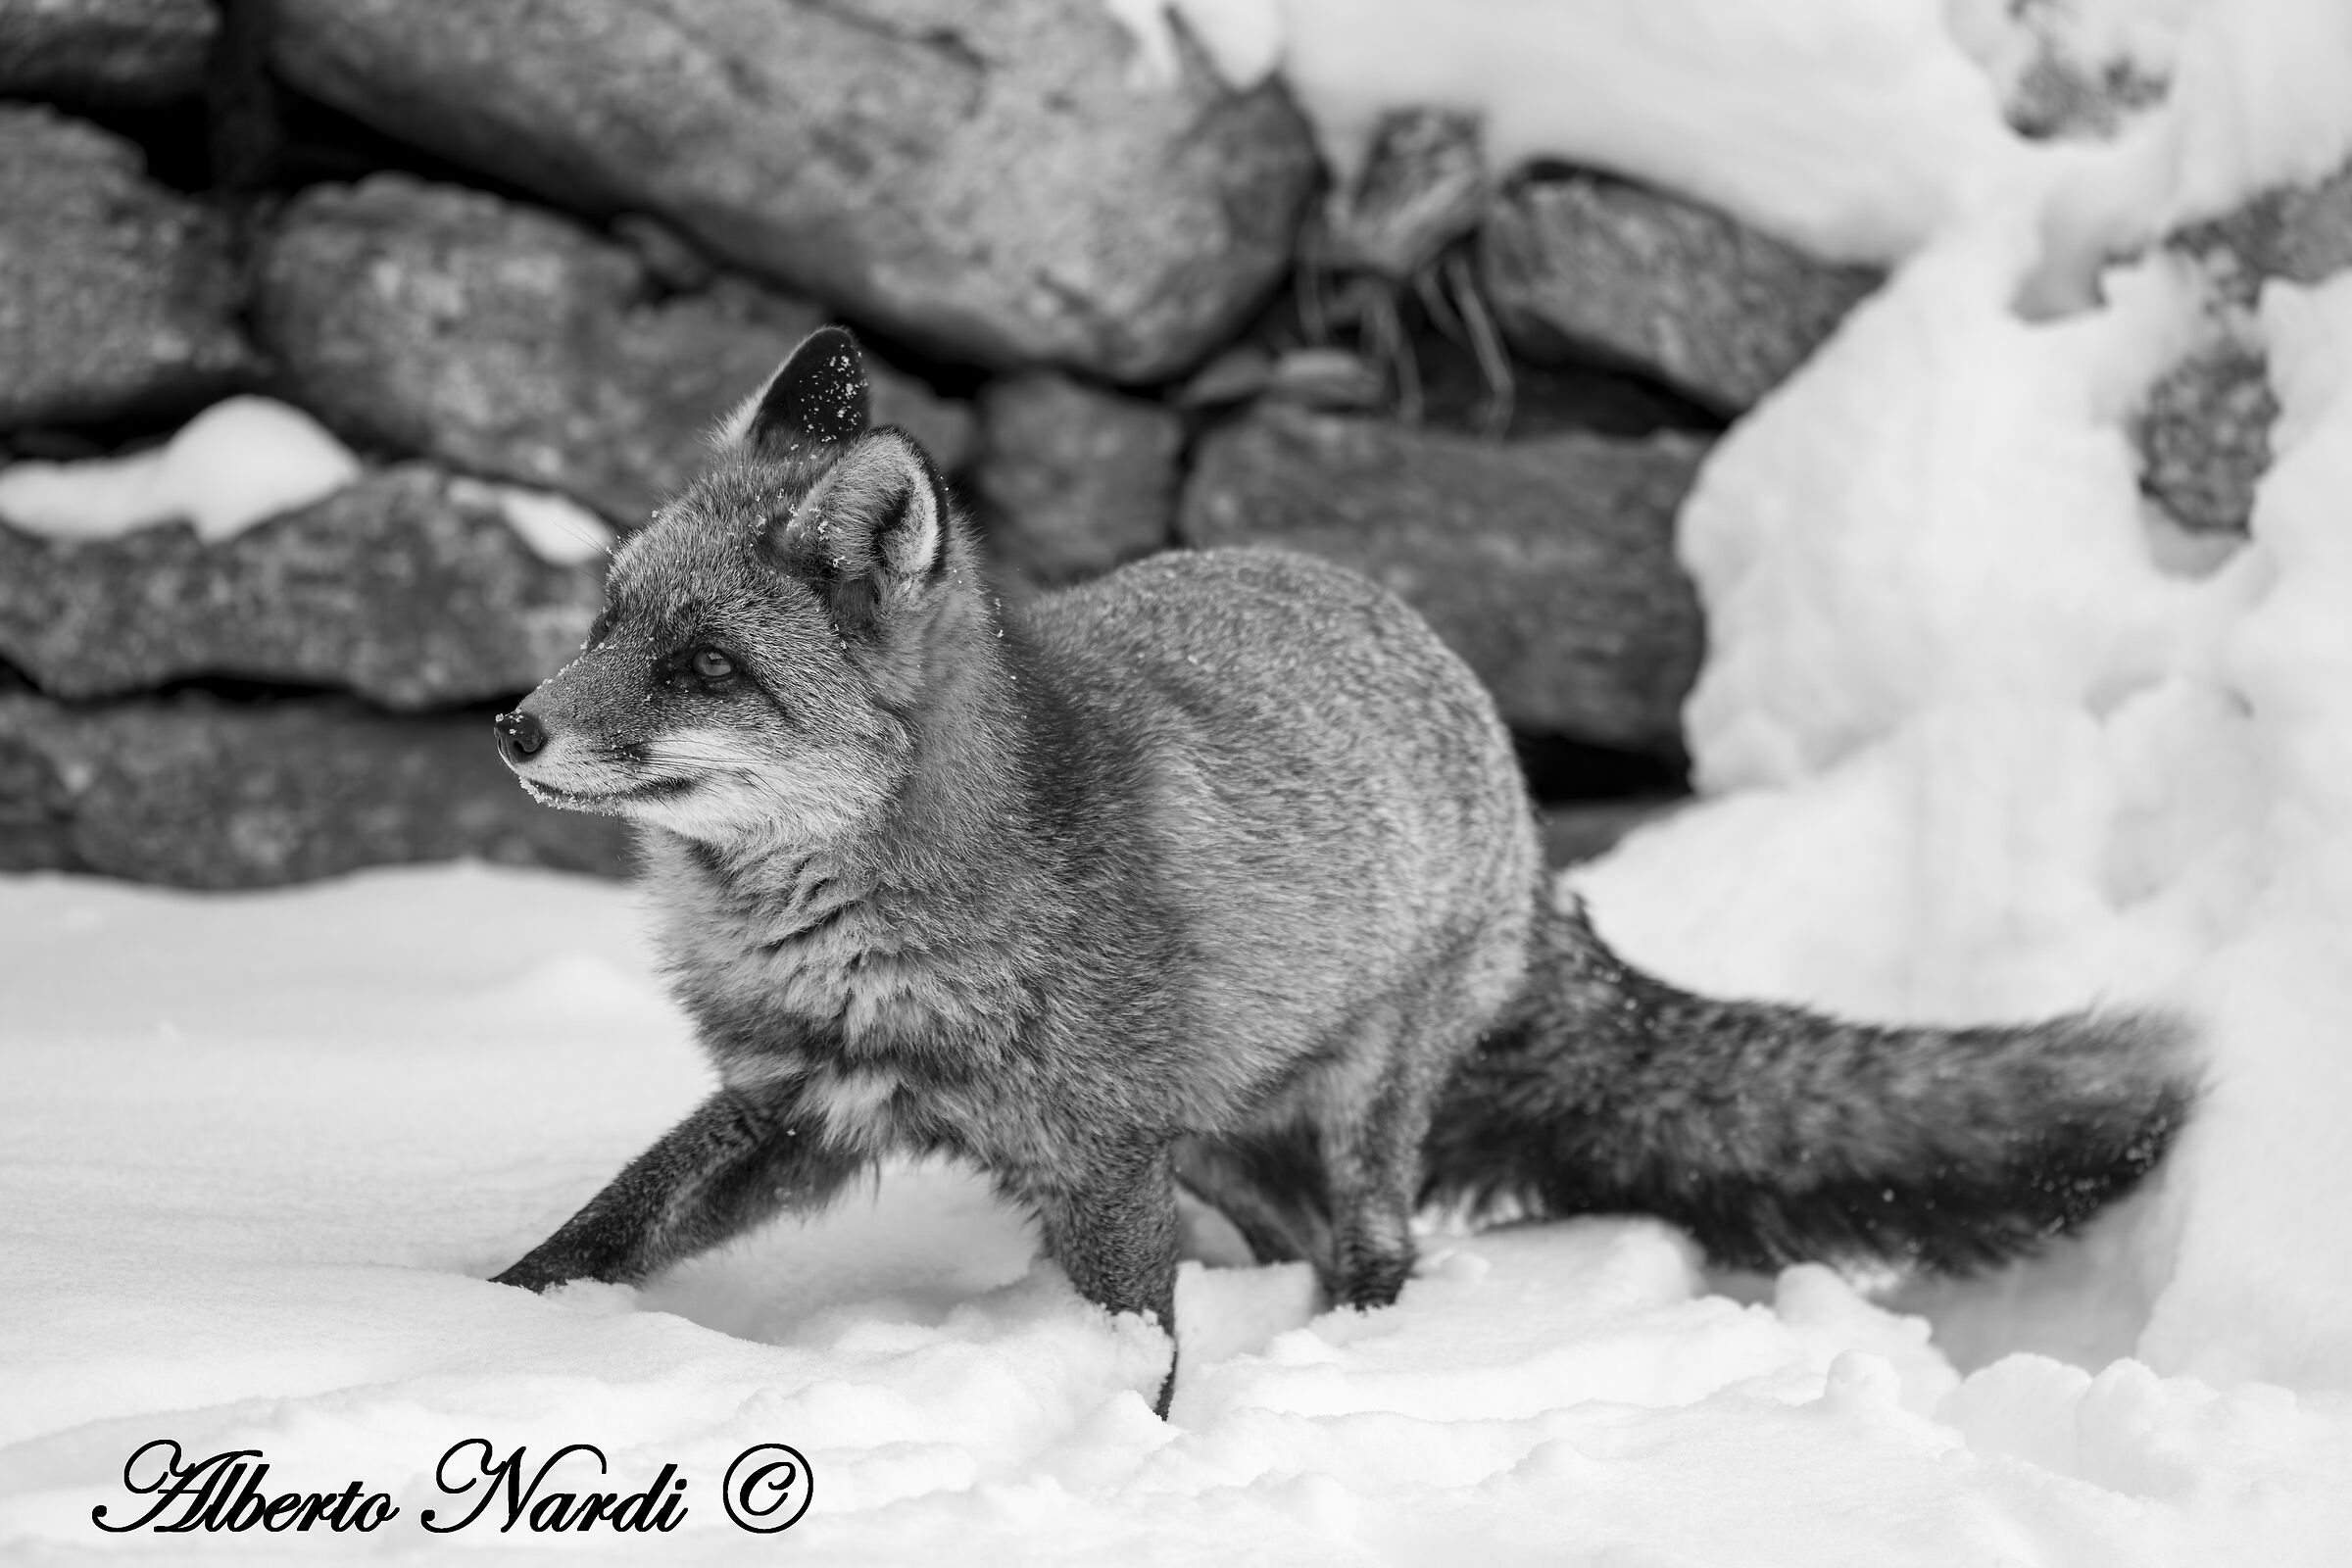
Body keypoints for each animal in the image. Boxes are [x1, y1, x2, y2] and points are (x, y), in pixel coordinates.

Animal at [488, 326, 2196, 1414]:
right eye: (605, 624)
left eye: (706, 666)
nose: (513, 727)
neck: (878, 924)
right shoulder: (800, 1100)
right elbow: (604, 1233)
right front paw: (482, 1331)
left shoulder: (1099, 1160)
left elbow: (1139, 1346)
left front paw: (1126, 1449)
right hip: (1230, 1137)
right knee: (1310, 1242)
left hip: (1360, 1107)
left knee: (1383, 1248)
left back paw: (1371, 1365)